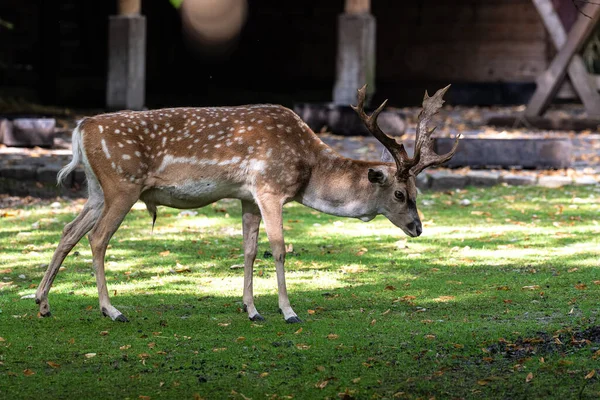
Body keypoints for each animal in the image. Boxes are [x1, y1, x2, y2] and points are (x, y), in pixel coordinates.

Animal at [36, 84, 460, 322]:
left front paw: (251, 309)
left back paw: (42, 302)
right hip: (122, 184)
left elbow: (249, 250)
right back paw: (112, 310)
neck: (308, 171)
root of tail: (80, 128)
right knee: (97, 239)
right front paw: (288, 312)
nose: (417, 228)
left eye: (418, 193)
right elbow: (279, 248)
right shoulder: (269, 187)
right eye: (401, 193)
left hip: (96, 189)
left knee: (69, 232)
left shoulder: (247, 197)